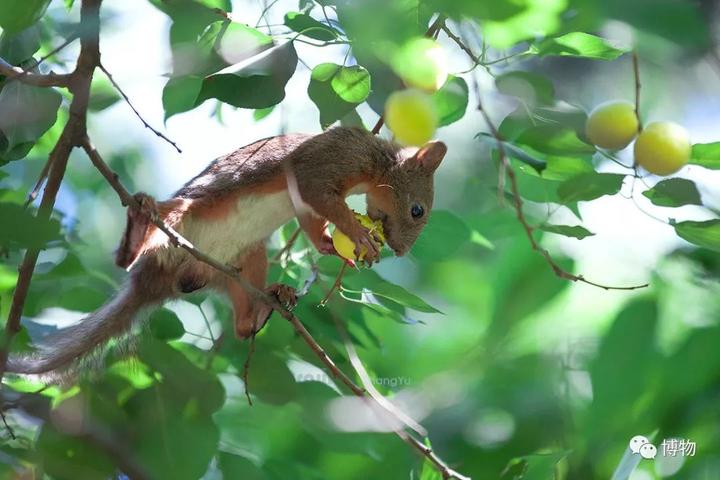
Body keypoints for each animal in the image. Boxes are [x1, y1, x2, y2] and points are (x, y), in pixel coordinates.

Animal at [5, 127, 448, 376]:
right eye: (418, 210)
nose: (400, 251)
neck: (377, 162)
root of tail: (154, 284)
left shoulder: (308, 200)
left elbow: (311, 220)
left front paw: (336, 248)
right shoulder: (327, 160)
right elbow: (317, 194)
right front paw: (356, 233)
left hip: (245, 261)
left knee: (240, 326)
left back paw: (269, 303)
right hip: (183, 215)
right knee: (130, 253)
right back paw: (139, 226)